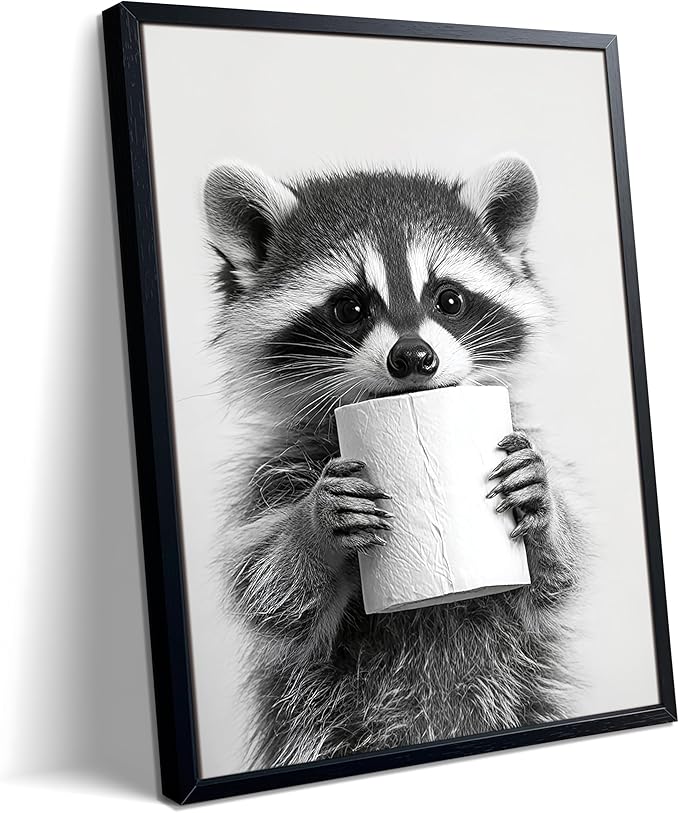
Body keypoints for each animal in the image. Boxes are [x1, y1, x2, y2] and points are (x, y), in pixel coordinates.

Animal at [203, 157, 584, 769]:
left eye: (449, 300)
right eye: (350, 308)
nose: (413, 356)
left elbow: (555, 583)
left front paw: (544, 507)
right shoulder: (274, 469)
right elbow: (270, 597)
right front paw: (312, 525)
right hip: (321, 728)